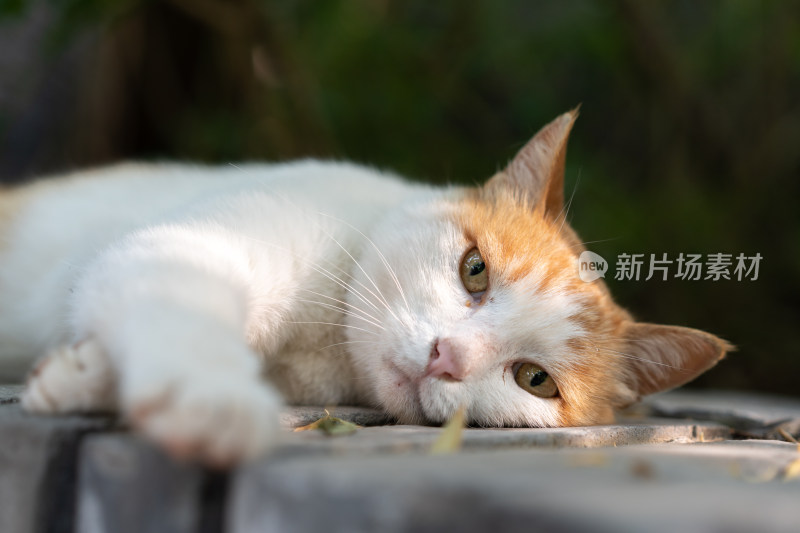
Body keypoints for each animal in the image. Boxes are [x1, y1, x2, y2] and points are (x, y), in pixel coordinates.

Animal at [0, 110, 728, 464]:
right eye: (474, 269)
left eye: (535, 380)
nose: (446, 356)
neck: (326, 352)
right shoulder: (185, 248)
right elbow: (181, 310)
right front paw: (210, 399)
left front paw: (74, 375)